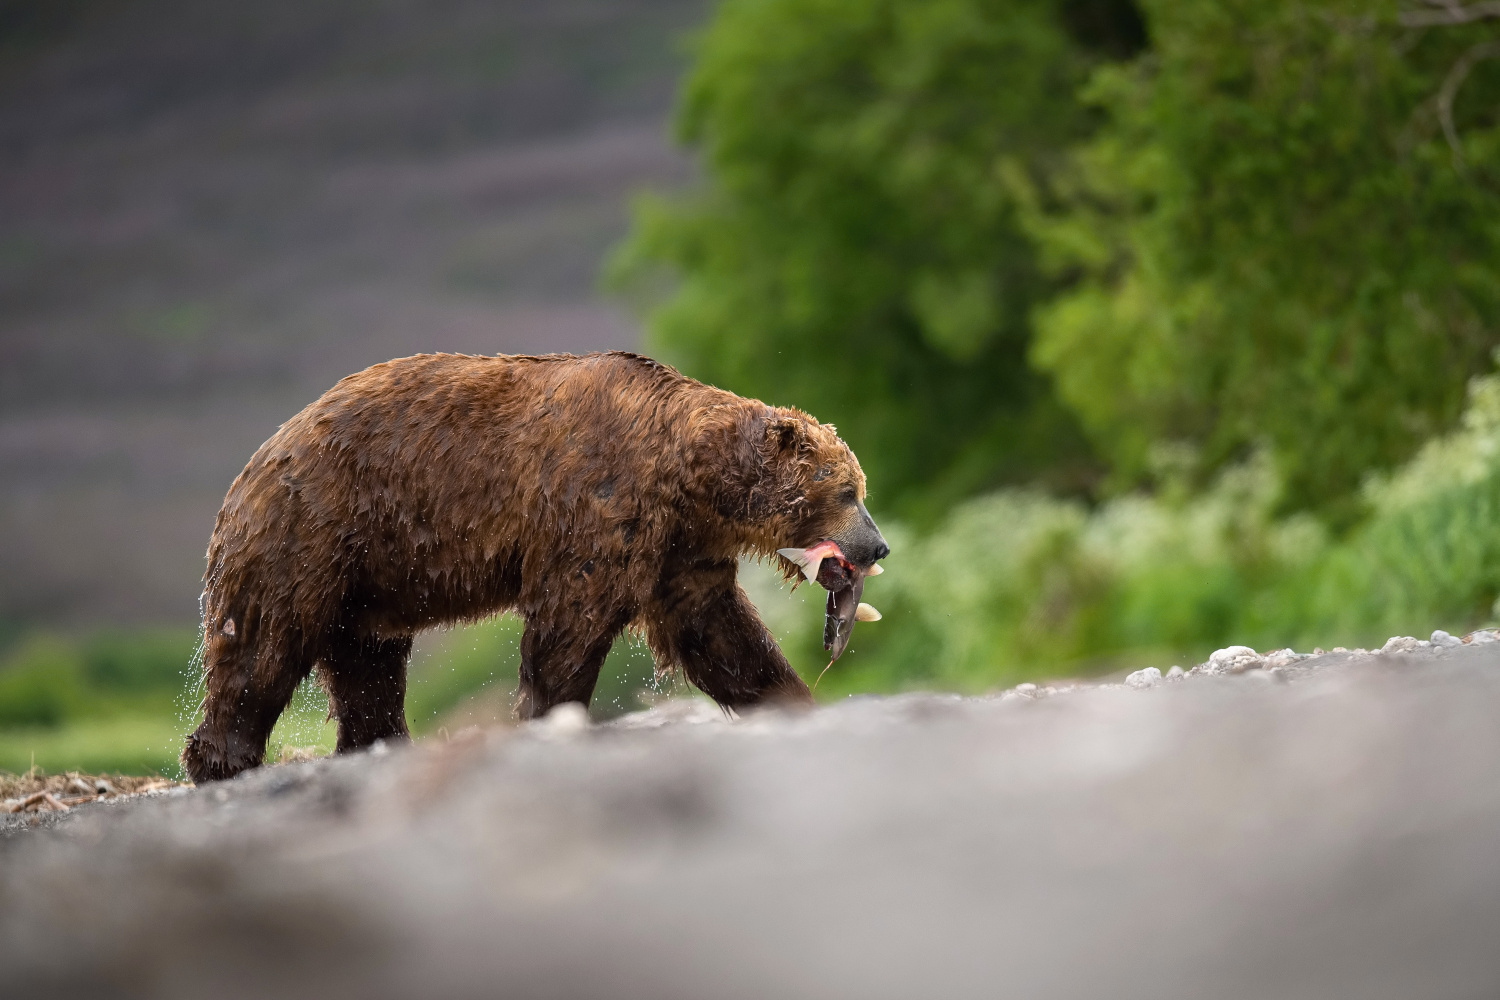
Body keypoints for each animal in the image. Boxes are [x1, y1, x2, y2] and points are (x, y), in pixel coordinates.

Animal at [187, 352, 888, 779]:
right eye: (847, 491)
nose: (877, 546)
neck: (689, 476)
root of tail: (263, 453)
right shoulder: (599, 501)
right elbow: (571, 619)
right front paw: (550, 712)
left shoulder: (681, 546)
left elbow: (718, 632)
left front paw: (793, 699)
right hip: (311, 531)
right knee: (263, 647)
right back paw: (223, 760)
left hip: (367, 583)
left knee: (368, 666)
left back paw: (379, 744)